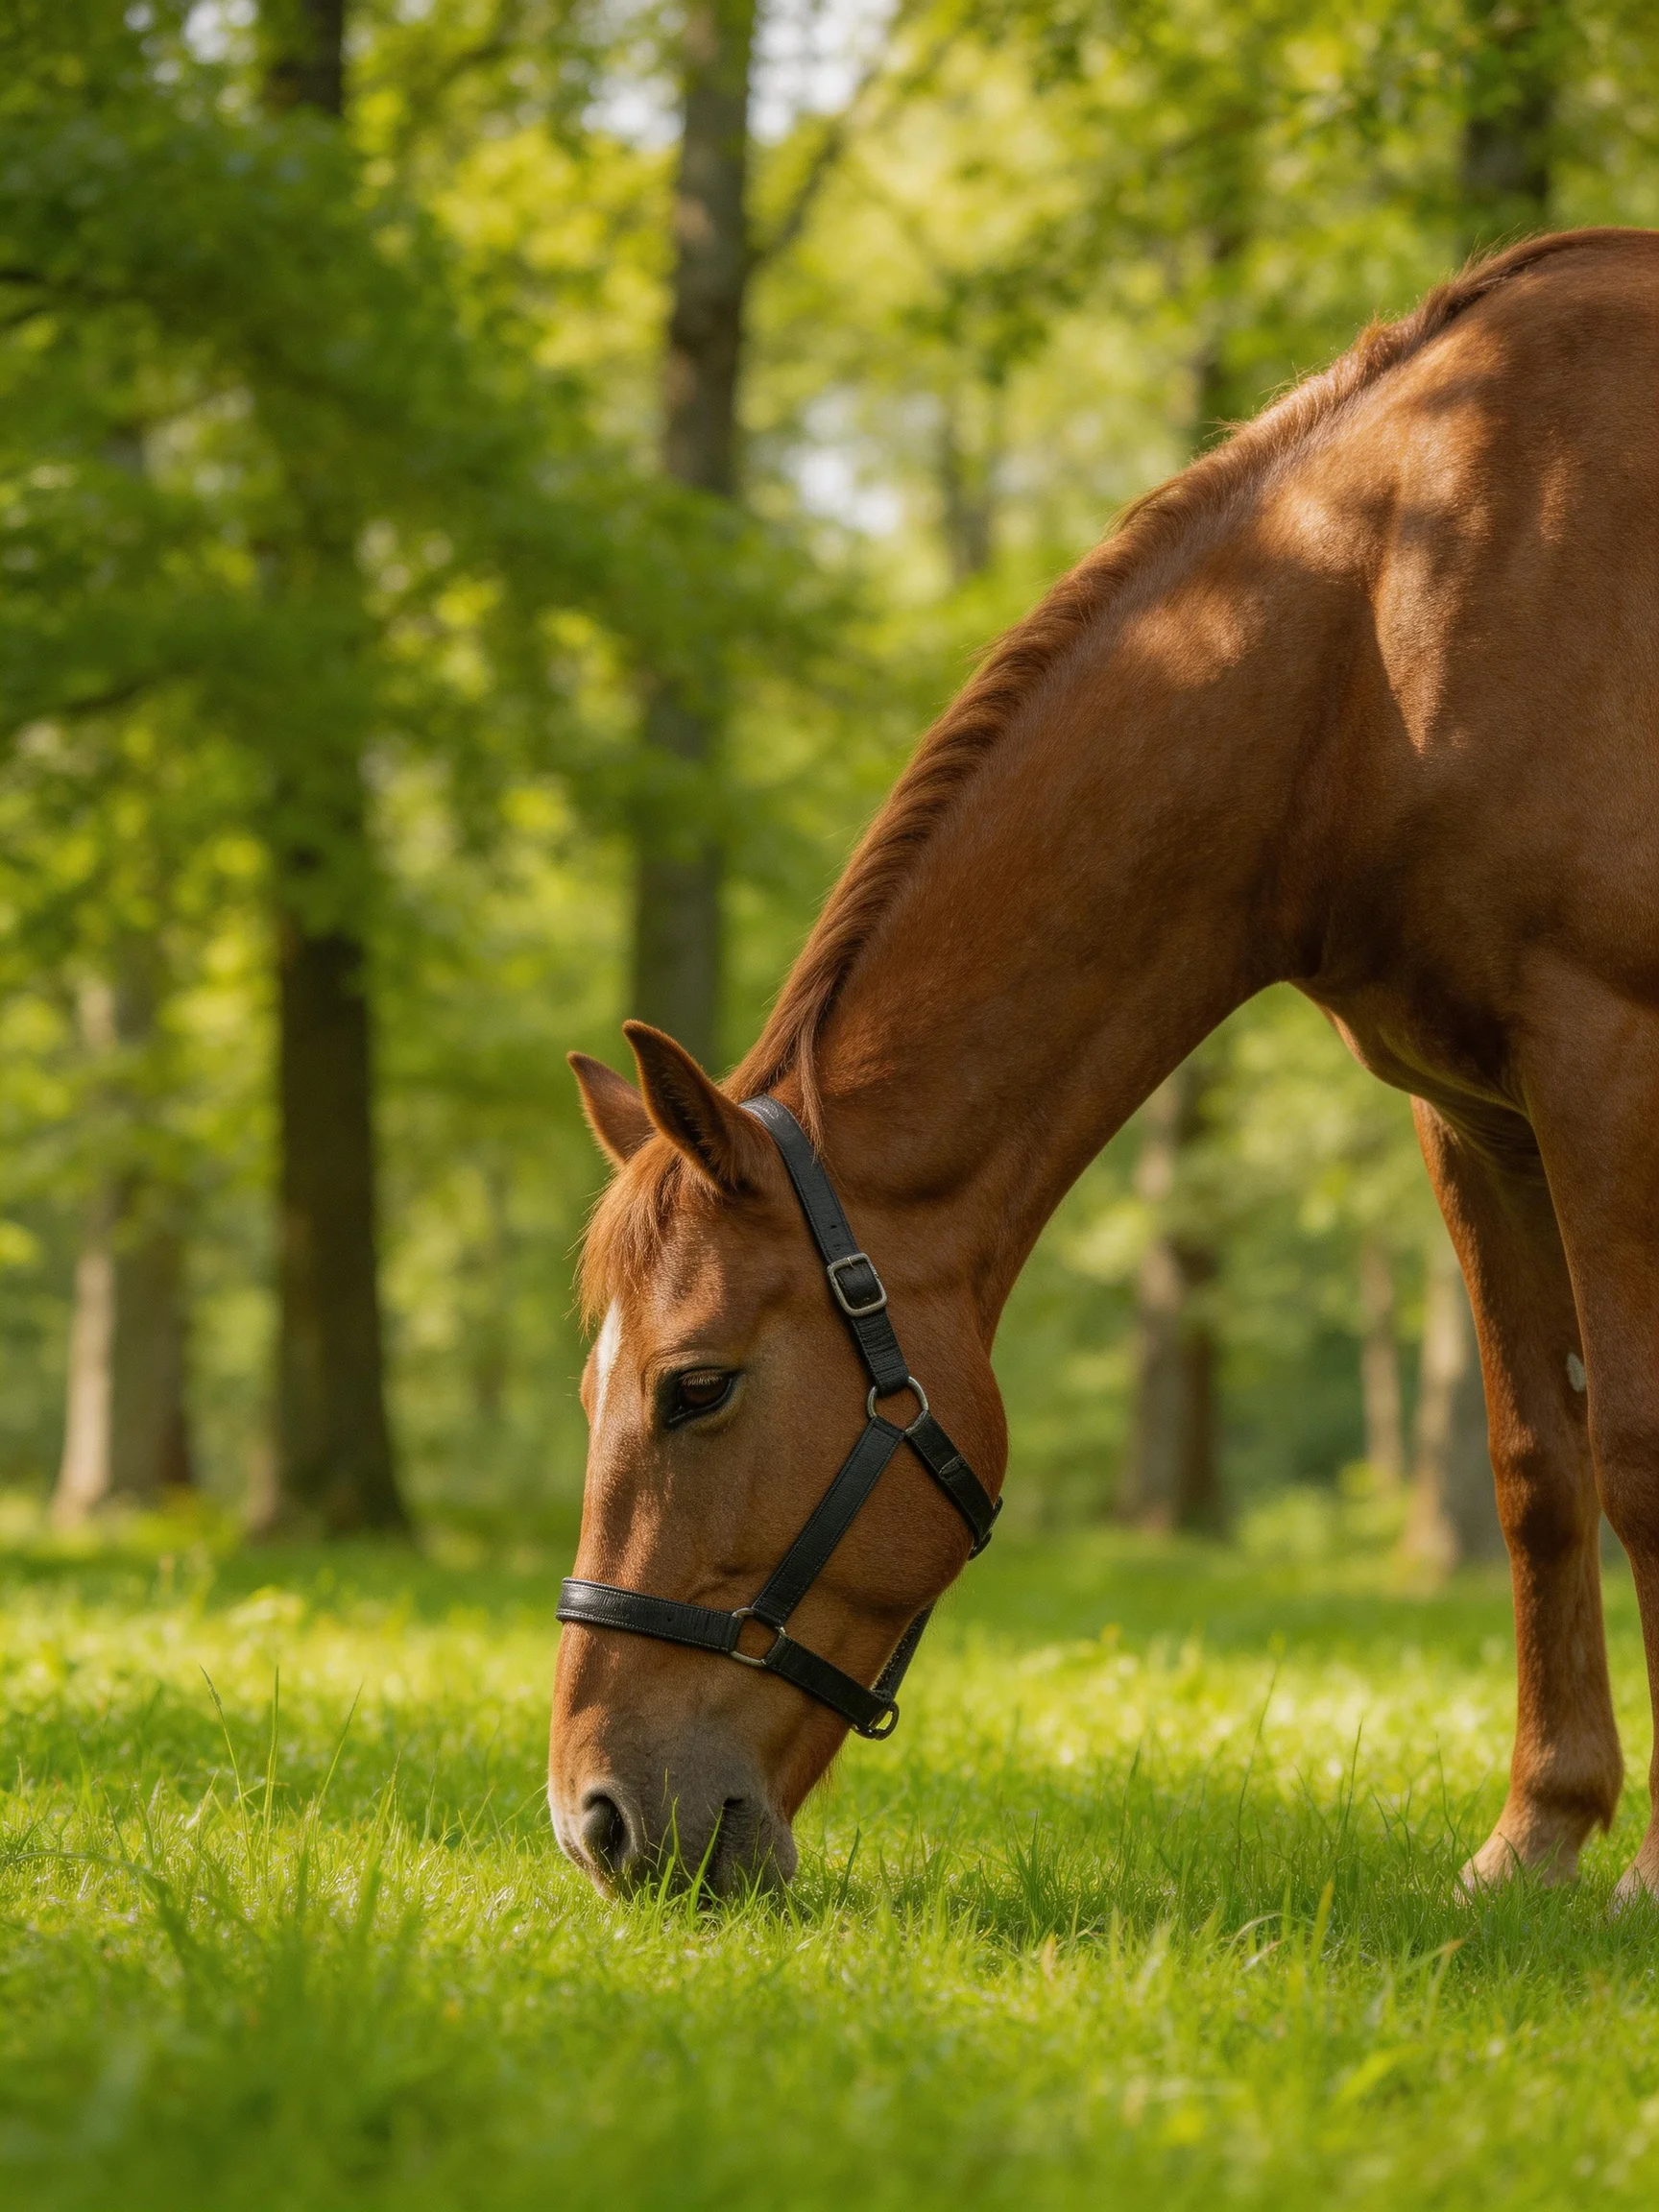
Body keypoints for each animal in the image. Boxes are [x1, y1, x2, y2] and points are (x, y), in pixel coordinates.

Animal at [551, 228, 1659, 1907]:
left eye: (695, 1388)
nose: (599, 1820)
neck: (1391, 627)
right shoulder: (1480, 1116)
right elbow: (1542, 1466)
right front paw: (1539, 1836)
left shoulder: (1608, 1056)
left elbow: (1644, 1445)